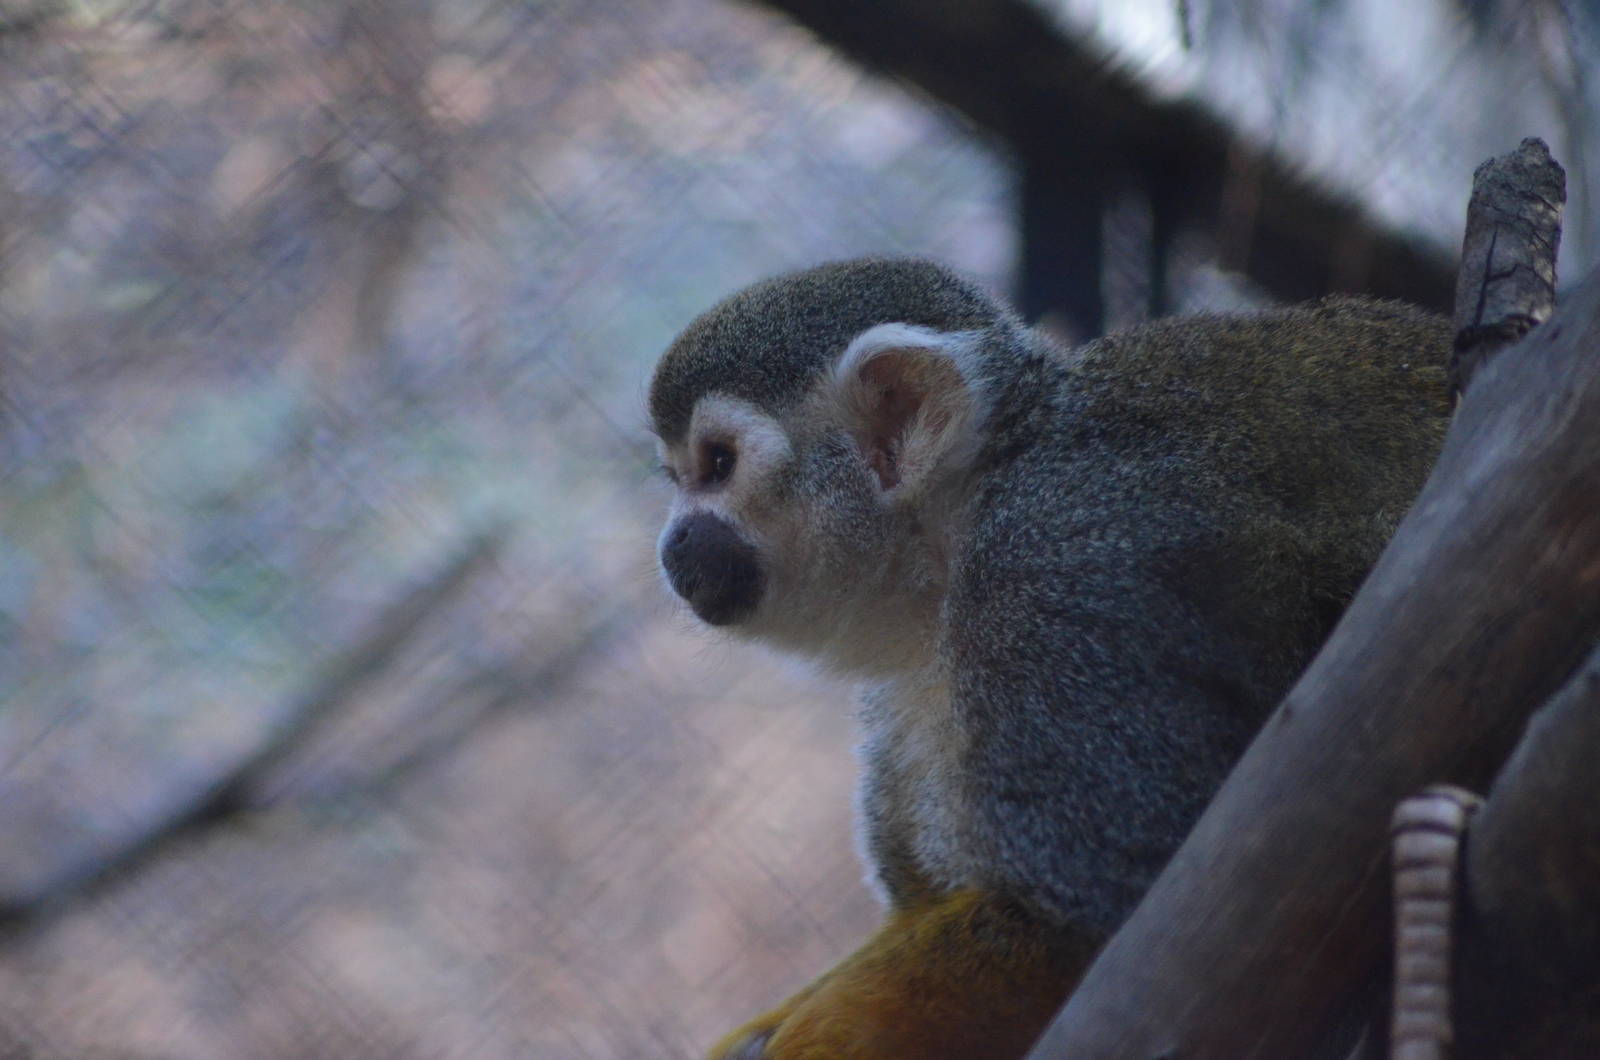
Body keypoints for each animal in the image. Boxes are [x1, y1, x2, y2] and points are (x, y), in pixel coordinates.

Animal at [649, 258, 1451, 1059]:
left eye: (717, 465)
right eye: (682, 477)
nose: (673, 542)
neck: (955, 541)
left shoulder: (1065, 576)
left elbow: (1121, 902)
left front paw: (817, 1039)